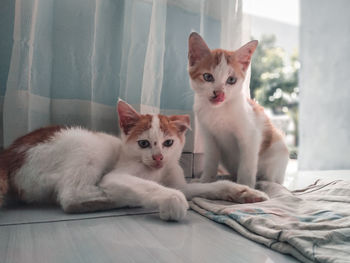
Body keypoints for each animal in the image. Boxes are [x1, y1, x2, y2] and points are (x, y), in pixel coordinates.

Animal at [0, 100, 268, 222]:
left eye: (168, 143)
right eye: (144, 144)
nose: (158, 157)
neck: (157, 172)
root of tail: (9, 153)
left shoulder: (178, 181)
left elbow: (206, 186)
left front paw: (243, 191)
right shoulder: (117, 175)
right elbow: (150, 186)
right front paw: (172, 199)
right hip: (90, 144)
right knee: (70, 197)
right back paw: (119, 199)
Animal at [187, 33, 288, 189]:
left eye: (231, 80)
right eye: (207, 77)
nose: (219, 94)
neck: (219, 110)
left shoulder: (251, 135)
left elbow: (247, 164)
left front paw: (245, 185)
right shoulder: (209, 136)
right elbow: (210, 160)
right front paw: (206, 181)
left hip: (278, 149)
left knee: (272, 179)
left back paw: (264, 181)